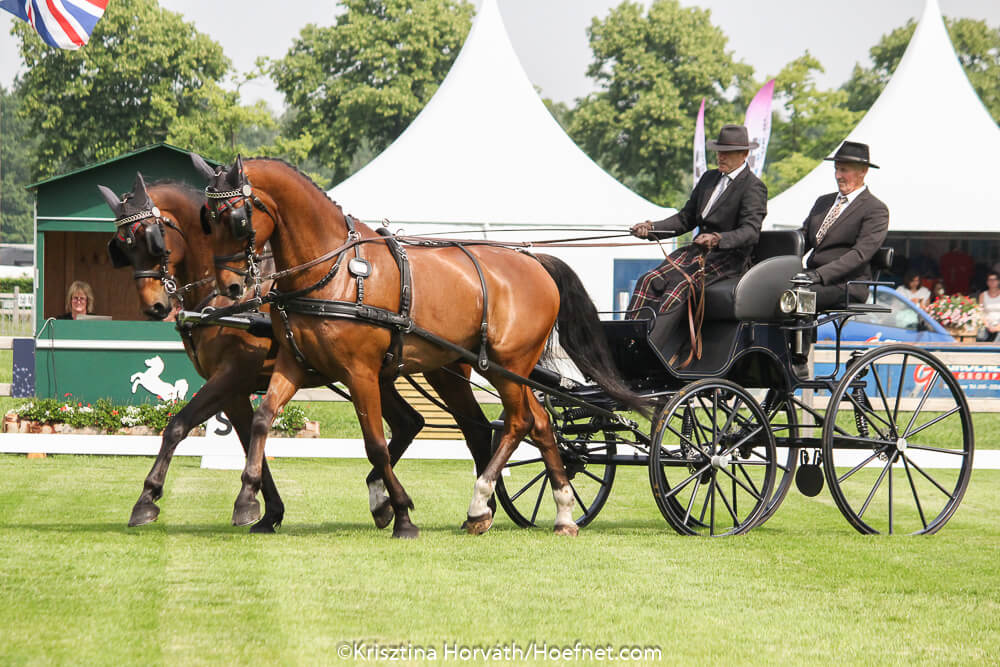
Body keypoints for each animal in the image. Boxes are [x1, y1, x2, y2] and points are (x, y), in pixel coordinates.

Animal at [100, 175, 488, 536]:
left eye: (151, 239)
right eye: (122, 247)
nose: (154, 307)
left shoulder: (233, 375)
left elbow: (185, 425)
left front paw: (152, 498)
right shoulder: (234, 390)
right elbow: (231, 435)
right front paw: (264, 510)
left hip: (440, 372)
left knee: (477, 429)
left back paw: (479, 509)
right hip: (381, 374)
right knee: (412, 422)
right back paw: (389, 502)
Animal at [190, 153, 644, 536]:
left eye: (237, 219)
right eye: (206, 220)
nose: (229, 288)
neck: (333, 270)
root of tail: (534, 261)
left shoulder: (360, 372)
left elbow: (375, 444)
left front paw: (403, 516)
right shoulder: (294, 363)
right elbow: (263, 419)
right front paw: (248, 502)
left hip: (506, 366)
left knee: (518, 423)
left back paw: (482, 503)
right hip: (487, 370)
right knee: (539, 423)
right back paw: (560, 513)